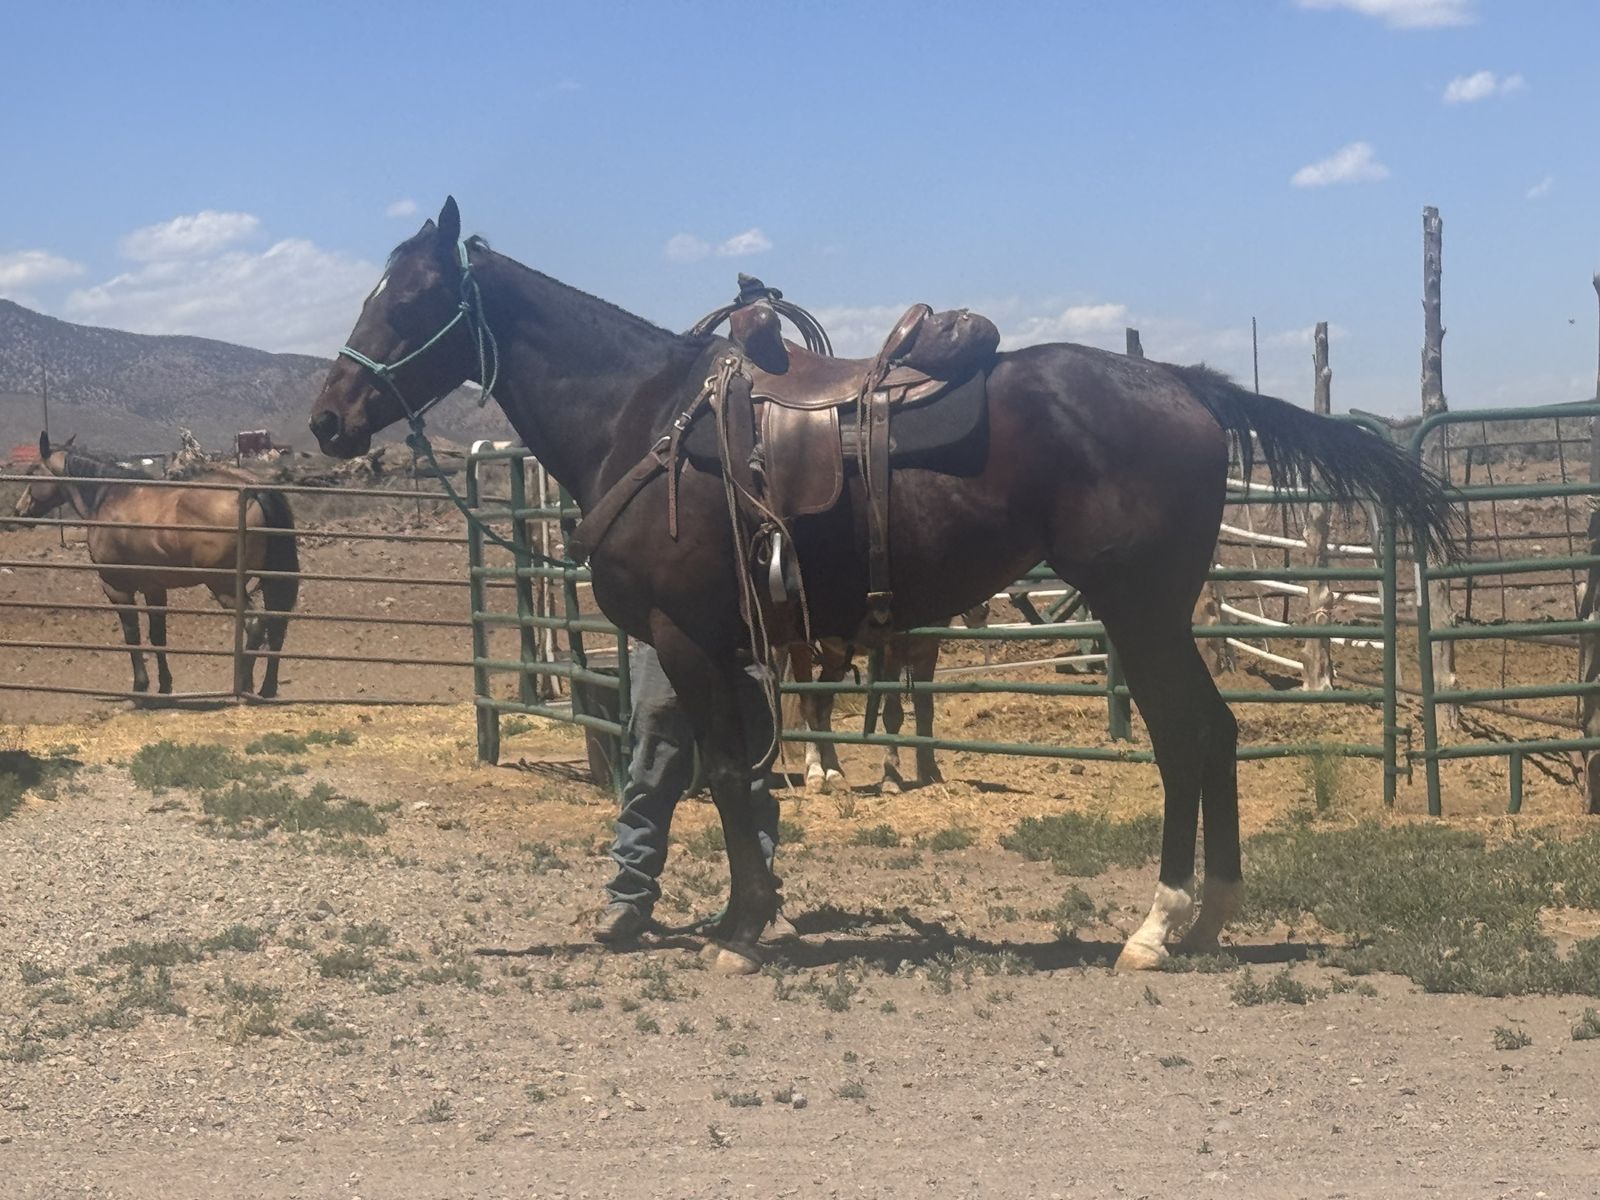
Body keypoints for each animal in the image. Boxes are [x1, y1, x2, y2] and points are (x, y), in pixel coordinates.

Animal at [9, 434, 299, 698]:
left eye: (32, 471)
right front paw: (164, 686)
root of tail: (253, 490)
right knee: (277, 627)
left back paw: (243, 685)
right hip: (269, 580)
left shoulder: (117, 589)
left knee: (255, 624)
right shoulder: (154, 589)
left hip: (225, 585)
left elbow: (133, 635)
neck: (110, 497)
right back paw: (266, 688)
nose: (18, 511)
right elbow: (158, 637)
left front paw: (140, 686)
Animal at [310, 198, 1456, 975]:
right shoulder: (736, 645)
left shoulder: (686, 638)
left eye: (409, 295)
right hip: (1157, 615)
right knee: (1213, 735)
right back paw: (1207, 916)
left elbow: (722, 777)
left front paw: (739, 930)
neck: (650, 422)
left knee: (1185, 738)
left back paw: (1158, 925)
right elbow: (741, 779)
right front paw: (752, 905)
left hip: (1139, 612)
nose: (327, 418)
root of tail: (1184, 384)